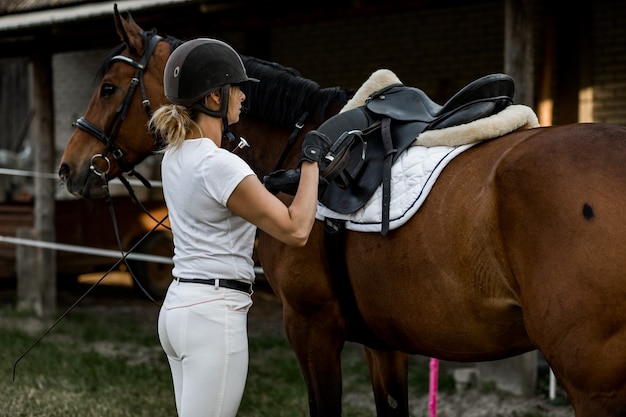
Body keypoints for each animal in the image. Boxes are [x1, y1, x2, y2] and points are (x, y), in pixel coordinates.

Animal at [61, 7, 624, 416]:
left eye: (108, 88)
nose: (70, 167)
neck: (294, 152)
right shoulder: (384, 343)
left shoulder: (312, 329)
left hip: (590, 379)